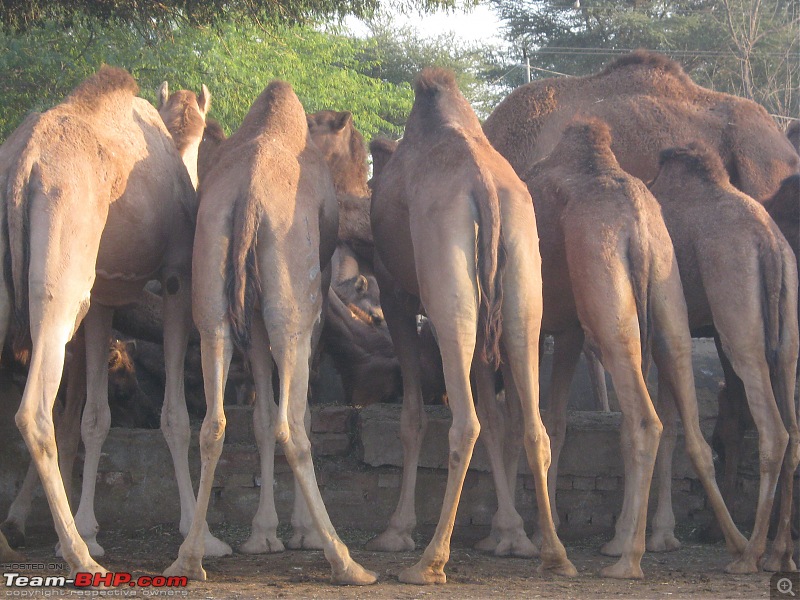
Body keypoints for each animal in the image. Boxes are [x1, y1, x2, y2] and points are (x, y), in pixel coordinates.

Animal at [163, 82, 376, 584]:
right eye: (356, 157)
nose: (363, 191)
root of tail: (249, 197)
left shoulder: (254, 316)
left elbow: (259, 416)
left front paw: (262, 535)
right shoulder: (309, 309)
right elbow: (301, 414)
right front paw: (298, 532)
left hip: (214, 296)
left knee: (214, 422)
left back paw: (191, 557)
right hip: (292, 304)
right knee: (292, 427)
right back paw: (345, 560)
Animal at [368, 67, 576, 584]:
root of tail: (486, 191)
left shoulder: (393, 295)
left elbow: (413, 417)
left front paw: (395, 531)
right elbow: (500, 418)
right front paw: (509, 535)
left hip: (449, 298)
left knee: (464, 423)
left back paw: (428, 562)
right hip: (521, 290)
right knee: (533, 425)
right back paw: (556, 555)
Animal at [648, 143, 800, 576]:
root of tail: (769, 244)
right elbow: (669, 424)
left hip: (737, 318)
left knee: (774, 430)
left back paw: (750, 555)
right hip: (787, 337)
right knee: (794, 431)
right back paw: (781, 555)